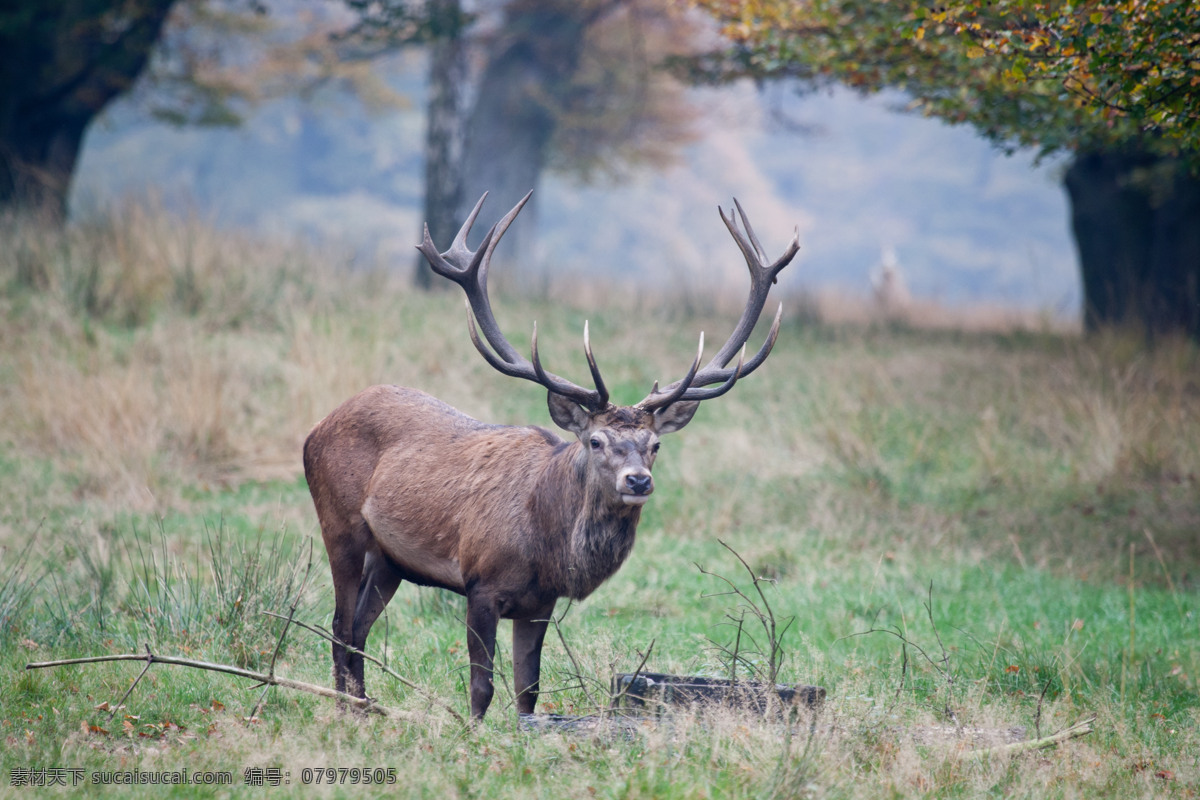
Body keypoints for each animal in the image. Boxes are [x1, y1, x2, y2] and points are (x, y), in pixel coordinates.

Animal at [303, 191, 799, 720]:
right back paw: (344, 707)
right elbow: (482, 686)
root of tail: (315, 429)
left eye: (655, 445)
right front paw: (473, 732)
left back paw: (361, 706)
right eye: (595, 441)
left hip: (390, 561)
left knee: (357, 630)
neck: (546, 545)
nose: (638, 480)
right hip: (340, 525)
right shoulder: (480, 582)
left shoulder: (540, 602)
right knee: (339, 625)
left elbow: (529, 689)